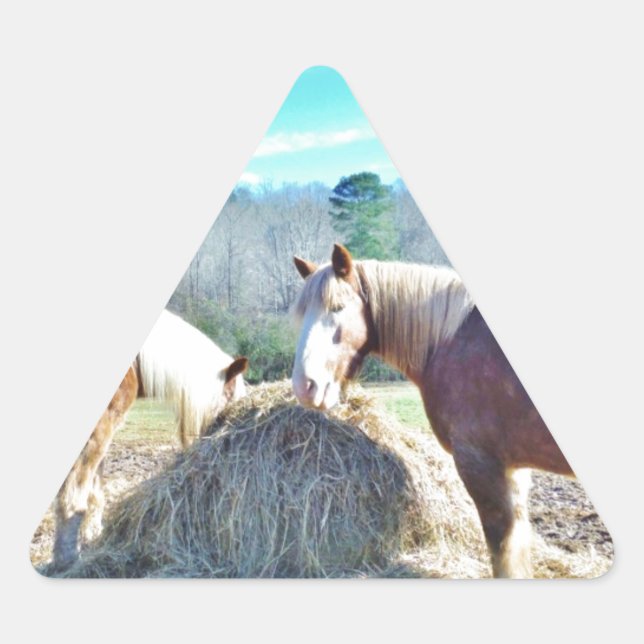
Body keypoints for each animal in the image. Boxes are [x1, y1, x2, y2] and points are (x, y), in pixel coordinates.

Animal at [52, 309, 248, 570]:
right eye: (228, 402)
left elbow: (94, 491)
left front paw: (92, 539)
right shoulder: (99, 431)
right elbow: (75, 494)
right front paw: (68, 558)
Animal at [291, 244, 573, 578]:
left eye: (337, 308)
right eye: (303, 314)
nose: (305, 386)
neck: (451, 342)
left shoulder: (480, 464)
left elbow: (502, 552)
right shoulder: (513, 469)